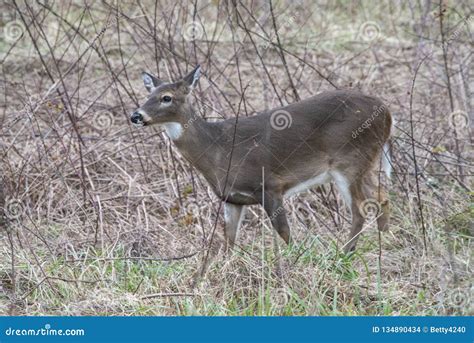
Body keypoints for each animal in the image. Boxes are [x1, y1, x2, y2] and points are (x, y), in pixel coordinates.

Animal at [131, 65, 392, 253]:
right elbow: (229, 240)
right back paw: (383, 241)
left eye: (166, 97)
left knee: (360, 208)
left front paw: (293, 260)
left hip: (349, 161)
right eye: (148, 94)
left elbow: (284, 232)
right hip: (366, 162)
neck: (216, 149)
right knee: (382, 196)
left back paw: (344, 253)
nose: (136, 115)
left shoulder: (270, 185)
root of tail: (388, 113)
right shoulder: (232, 199)